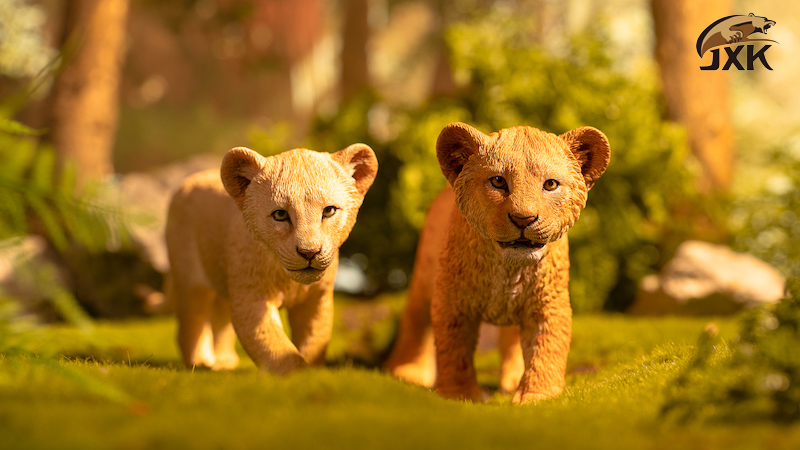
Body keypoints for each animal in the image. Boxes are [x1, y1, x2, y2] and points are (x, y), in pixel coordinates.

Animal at [165, 144, 377, 374]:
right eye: (280, 215)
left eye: (329, 211)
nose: (309, 252)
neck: (289, 280)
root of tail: (187, 181)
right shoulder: (252, 298)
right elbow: (275, 347)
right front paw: (299, 376)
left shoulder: (317, 298)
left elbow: (315, 339)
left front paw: (313, 373)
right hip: (190, 282)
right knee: (190, 323)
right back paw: (200, 362)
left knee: (220, 319)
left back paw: (224, 362)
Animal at [384, 122, 610, 404]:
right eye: (498, 181)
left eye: (550, 184)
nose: (524, 219)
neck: (509, 270)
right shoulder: (453, 303)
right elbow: (454, 352)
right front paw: (459, 396)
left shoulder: (548, 303)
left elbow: (547, 348)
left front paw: (536, 397)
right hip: (424, 276)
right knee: (415, 317)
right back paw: (408, 372)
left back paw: (511, 380)